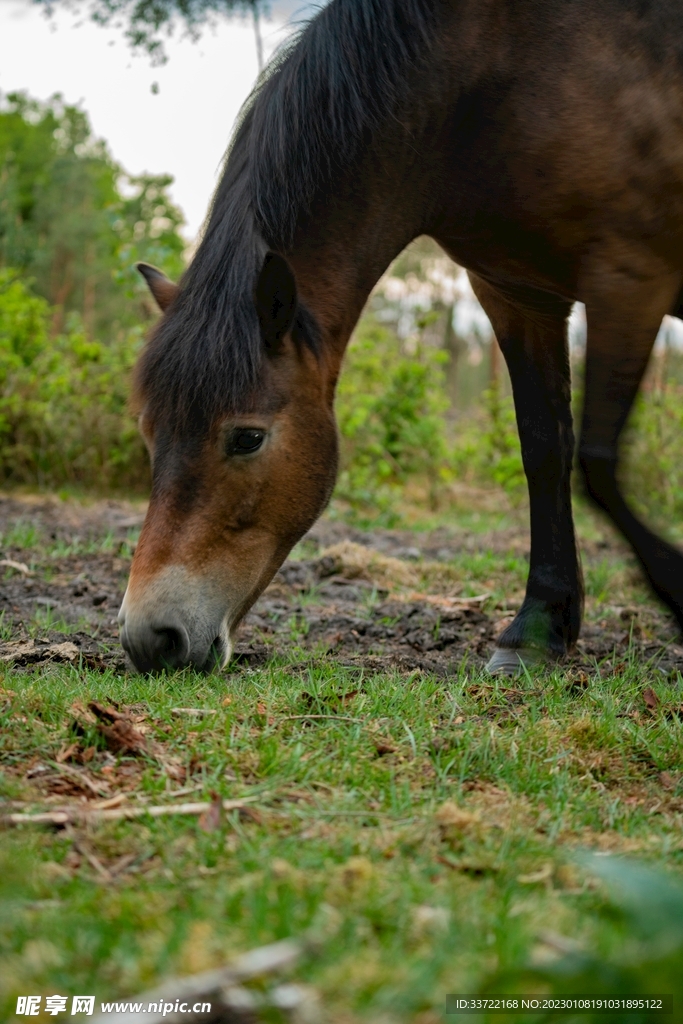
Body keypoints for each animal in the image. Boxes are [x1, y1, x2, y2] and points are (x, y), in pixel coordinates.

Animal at [118, 0, 683, 675]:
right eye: (150, 432)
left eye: (248, 438)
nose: (150, 638)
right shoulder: (517, 294)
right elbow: (546, 450)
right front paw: (537, 630)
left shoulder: (631, 278)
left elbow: (599, 463)